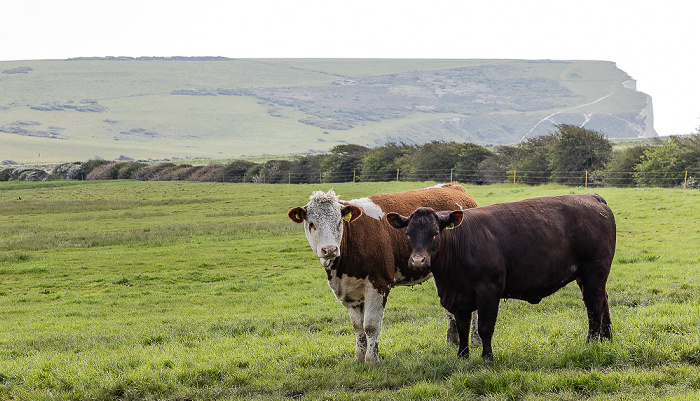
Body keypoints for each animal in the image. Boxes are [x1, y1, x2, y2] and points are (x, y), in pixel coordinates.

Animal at [288, 184, 478, 362]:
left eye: (339, 223)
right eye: (312, 224)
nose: (329, 249)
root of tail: (453, 186)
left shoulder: (378, 284)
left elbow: (370, 326)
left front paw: (372, 360)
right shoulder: (349, 291)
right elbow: (358, 326)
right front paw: (359, 357)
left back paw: (476, 341)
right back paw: (452, 340)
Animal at [386, 194, 616, 360]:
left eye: (435, 233)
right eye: (408, 234)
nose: (417, 261)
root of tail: (591, 197)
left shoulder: (488, 290)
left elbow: (485, 327)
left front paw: (487, 357)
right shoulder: (458, 297)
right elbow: (463, 328)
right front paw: (462, 356)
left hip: (593, 271)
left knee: (594, 306)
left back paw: (591, 342)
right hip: (587, 276)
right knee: (603, 302)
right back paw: (607, 339)